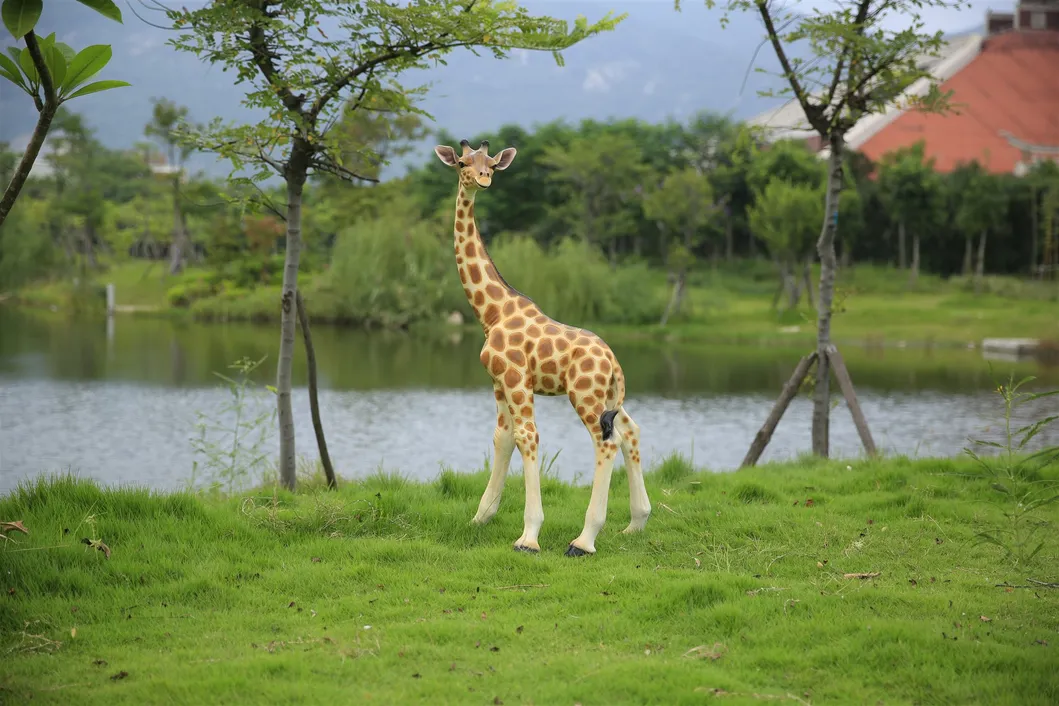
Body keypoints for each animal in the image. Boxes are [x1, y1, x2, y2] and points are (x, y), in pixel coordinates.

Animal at [433, 138, 652, 556]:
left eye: (491, 165)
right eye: (464, 163)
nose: (482, 180)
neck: (492, 311)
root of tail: (615, 365)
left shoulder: (516, 378)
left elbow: (527, 437)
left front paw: (529, 537)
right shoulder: (498, 382)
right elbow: (502, 438)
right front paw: (480, 518)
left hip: (584, 394)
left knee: (607, 442)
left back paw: (584, 540)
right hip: (608, 398)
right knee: (630, 429)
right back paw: (635, 524)